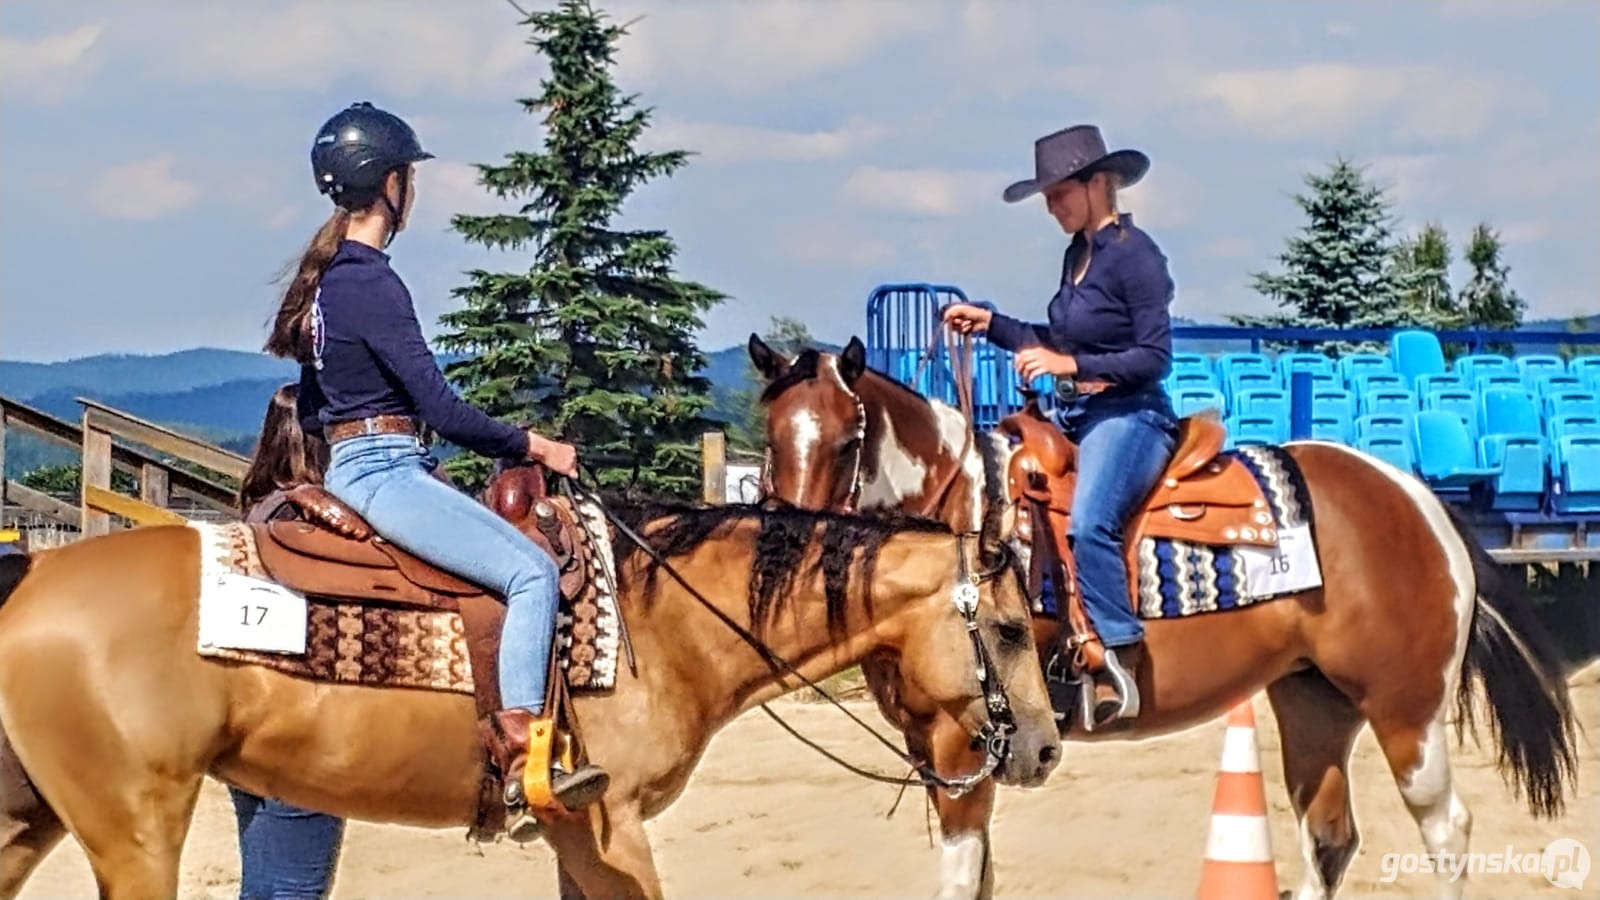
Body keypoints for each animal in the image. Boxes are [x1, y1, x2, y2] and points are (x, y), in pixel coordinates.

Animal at [0, 458, 1062, 890]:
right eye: (1012, 626)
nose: (1048, 749)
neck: (658, 621)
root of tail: (34, 576)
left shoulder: (572, 836)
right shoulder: (610, 826)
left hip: (33, 817)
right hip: (134, 828)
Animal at [752, 334, 1587, 896]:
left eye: (850, 439)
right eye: (772, 434)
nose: (788, 540)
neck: (966, 518)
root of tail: (1416, 498)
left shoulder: (967, 742)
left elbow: (960, 877)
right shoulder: (936, 742)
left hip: (1405, 709)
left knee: (1444, 830)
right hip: (1313, 702)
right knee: (1329, 839)